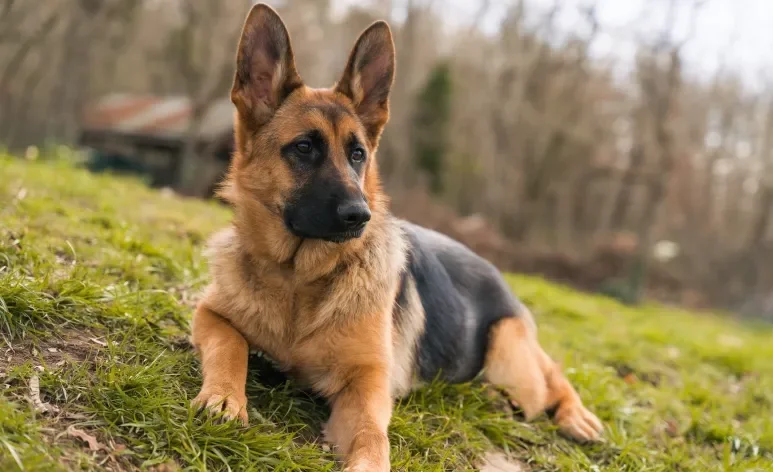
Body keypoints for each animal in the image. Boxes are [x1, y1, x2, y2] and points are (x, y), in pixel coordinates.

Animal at [191, 3, 604, 468]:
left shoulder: (367, 383)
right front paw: (225, 396)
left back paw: (575, 415)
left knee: (549, 375)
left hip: (510, 360)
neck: (299, 278)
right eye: (304, 148)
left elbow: (372, 435)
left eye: (358, 155)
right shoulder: (210, 313)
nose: (360, 216)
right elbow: (230, 347)